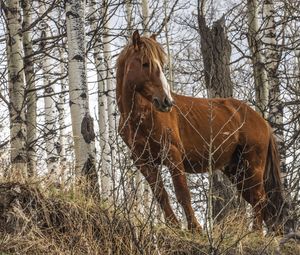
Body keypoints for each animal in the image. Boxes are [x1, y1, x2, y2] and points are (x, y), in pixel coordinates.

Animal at [115, 30, 288, 233]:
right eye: (145, 63)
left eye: (161, 65)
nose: (166, 101)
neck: (140, 116)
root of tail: (262, 122)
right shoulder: (143, 161)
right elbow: (161, 194)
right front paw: (175, 226)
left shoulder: (173, 155)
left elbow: (182, 194)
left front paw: (195, 229)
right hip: (236, 170)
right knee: (257, 201)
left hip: (253, 165)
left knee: (260, 199)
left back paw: (255, 233)